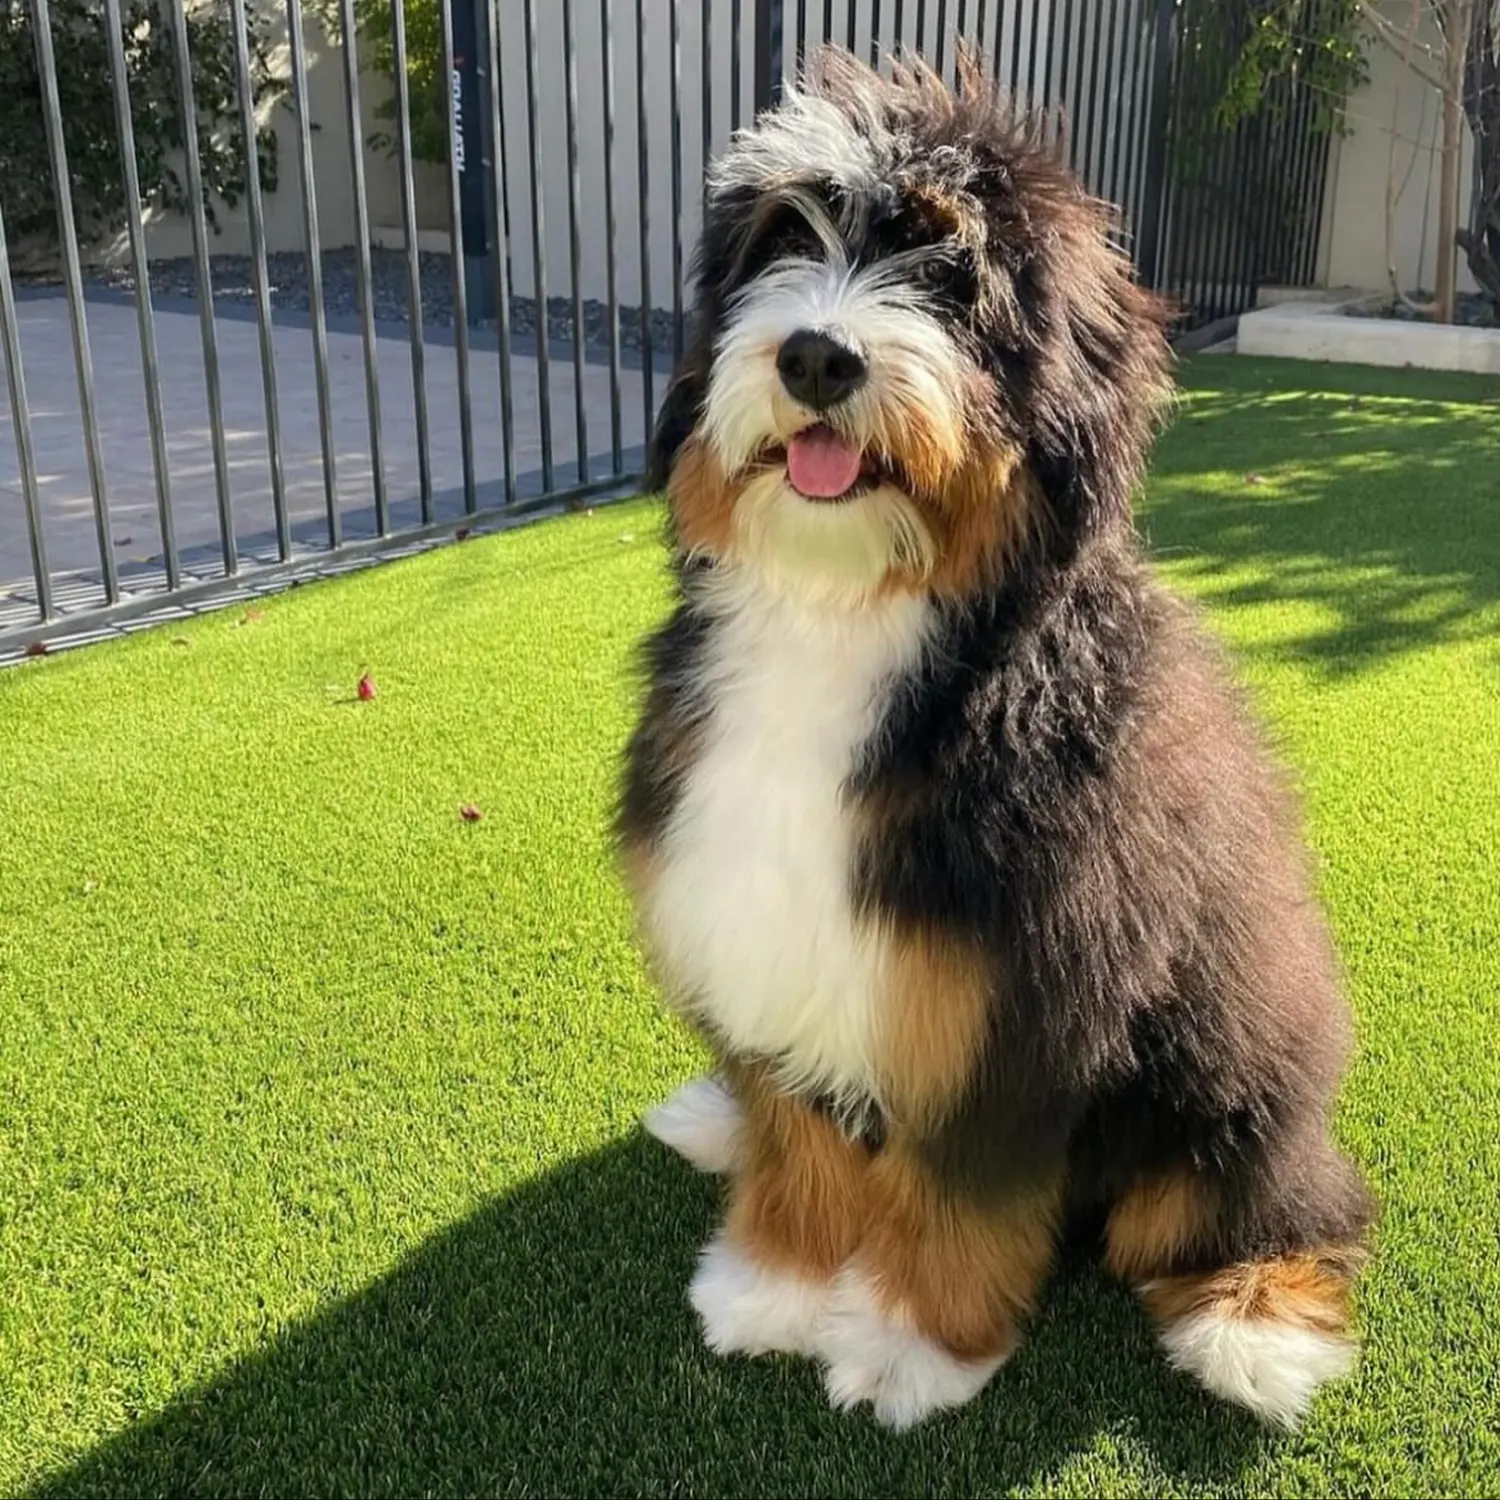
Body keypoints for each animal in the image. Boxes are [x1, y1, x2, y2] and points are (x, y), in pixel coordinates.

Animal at [615, 46, 1374, 1428]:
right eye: (782, 242)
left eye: (952, 277)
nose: (817, 357)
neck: (851, 612)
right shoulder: (767, 931)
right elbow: (799, 1131)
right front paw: (777, 1284)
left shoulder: (1014, 997)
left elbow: (962, 1188)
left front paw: (906, 1347)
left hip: (1235, 1070)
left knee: (1276, 1199)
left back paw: (1254, 1320)